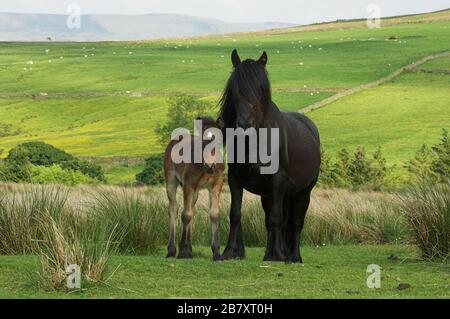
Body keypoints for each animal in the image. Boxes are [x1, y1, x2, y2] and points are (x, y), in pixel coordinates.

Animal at [164, 116, 224, 262]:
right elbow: (186, 215)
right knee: (173, 209)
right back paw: (172, 250)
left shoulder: (216, 186)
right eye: (202, 142)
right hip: (171, 181)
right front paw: (183, 252)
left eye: (219, 141)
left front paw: (217, 253)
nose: (210, 166)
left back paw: (190, 249)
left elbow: (214, 214)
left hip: (196, 191)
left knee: (192, 208)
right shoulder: (188, 185)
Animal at [220, 50, 322, 264]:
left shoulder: (278, 180)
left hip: (303, 192)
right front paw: (230, 252)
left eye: (260, 89)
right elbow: (235, 213)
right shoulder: (235, 179)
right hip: (271, 195)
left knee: (296, 222)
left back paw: (294, 257)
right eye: (235, 88)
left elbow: (278, 218)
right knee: (276, 221)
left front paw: (278, 256)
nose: (245, 124)